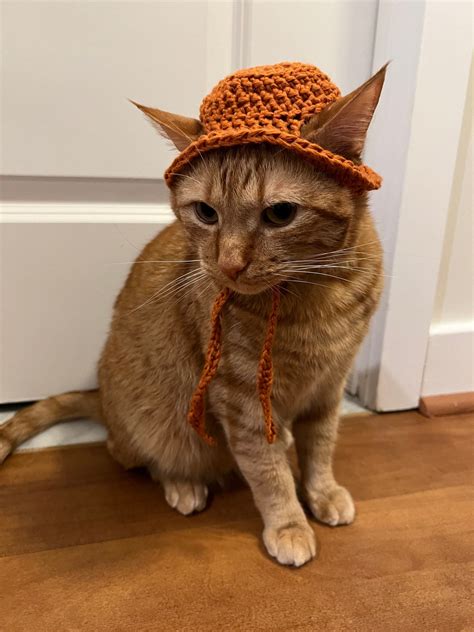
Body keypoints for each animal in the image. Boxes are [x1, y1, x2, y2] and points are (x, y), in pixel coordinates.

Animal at [0, 64, 386, 568]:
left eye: (281, 213)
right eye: (205, 212)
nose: (228, 265)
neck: (318, 298)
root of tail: (102, 399)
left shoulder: (328, 387)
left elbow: (321, 448)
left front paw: (322, 493)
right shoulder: (243, 403)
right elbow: (270, 472)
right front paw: (288, 524)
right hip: (156, 425)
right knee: (137, 455)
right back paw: (183, 484)